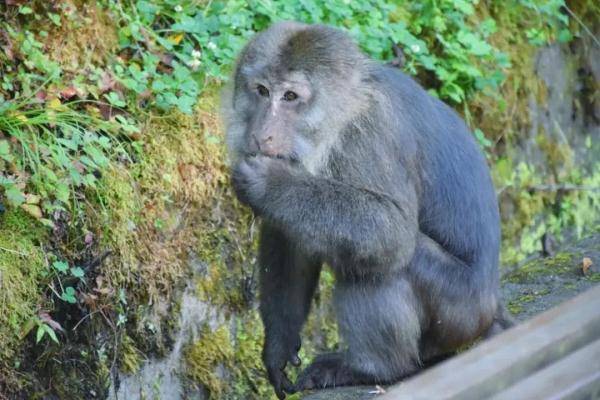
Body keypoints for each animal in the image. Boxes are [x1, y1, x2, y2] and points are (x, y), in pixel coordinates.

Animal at [223, 22, 512, 400]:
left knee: (379, 262)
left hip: (460, 311)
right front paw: (279, 345)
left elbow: (391, 232)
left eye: (290, 97)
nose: (262, 134)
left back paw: (375, 368)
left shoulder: (369, 138)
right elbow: (292, 240)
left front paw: (271, 183)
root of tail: (491, 307)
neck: (343, 113)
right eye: (260, 90)